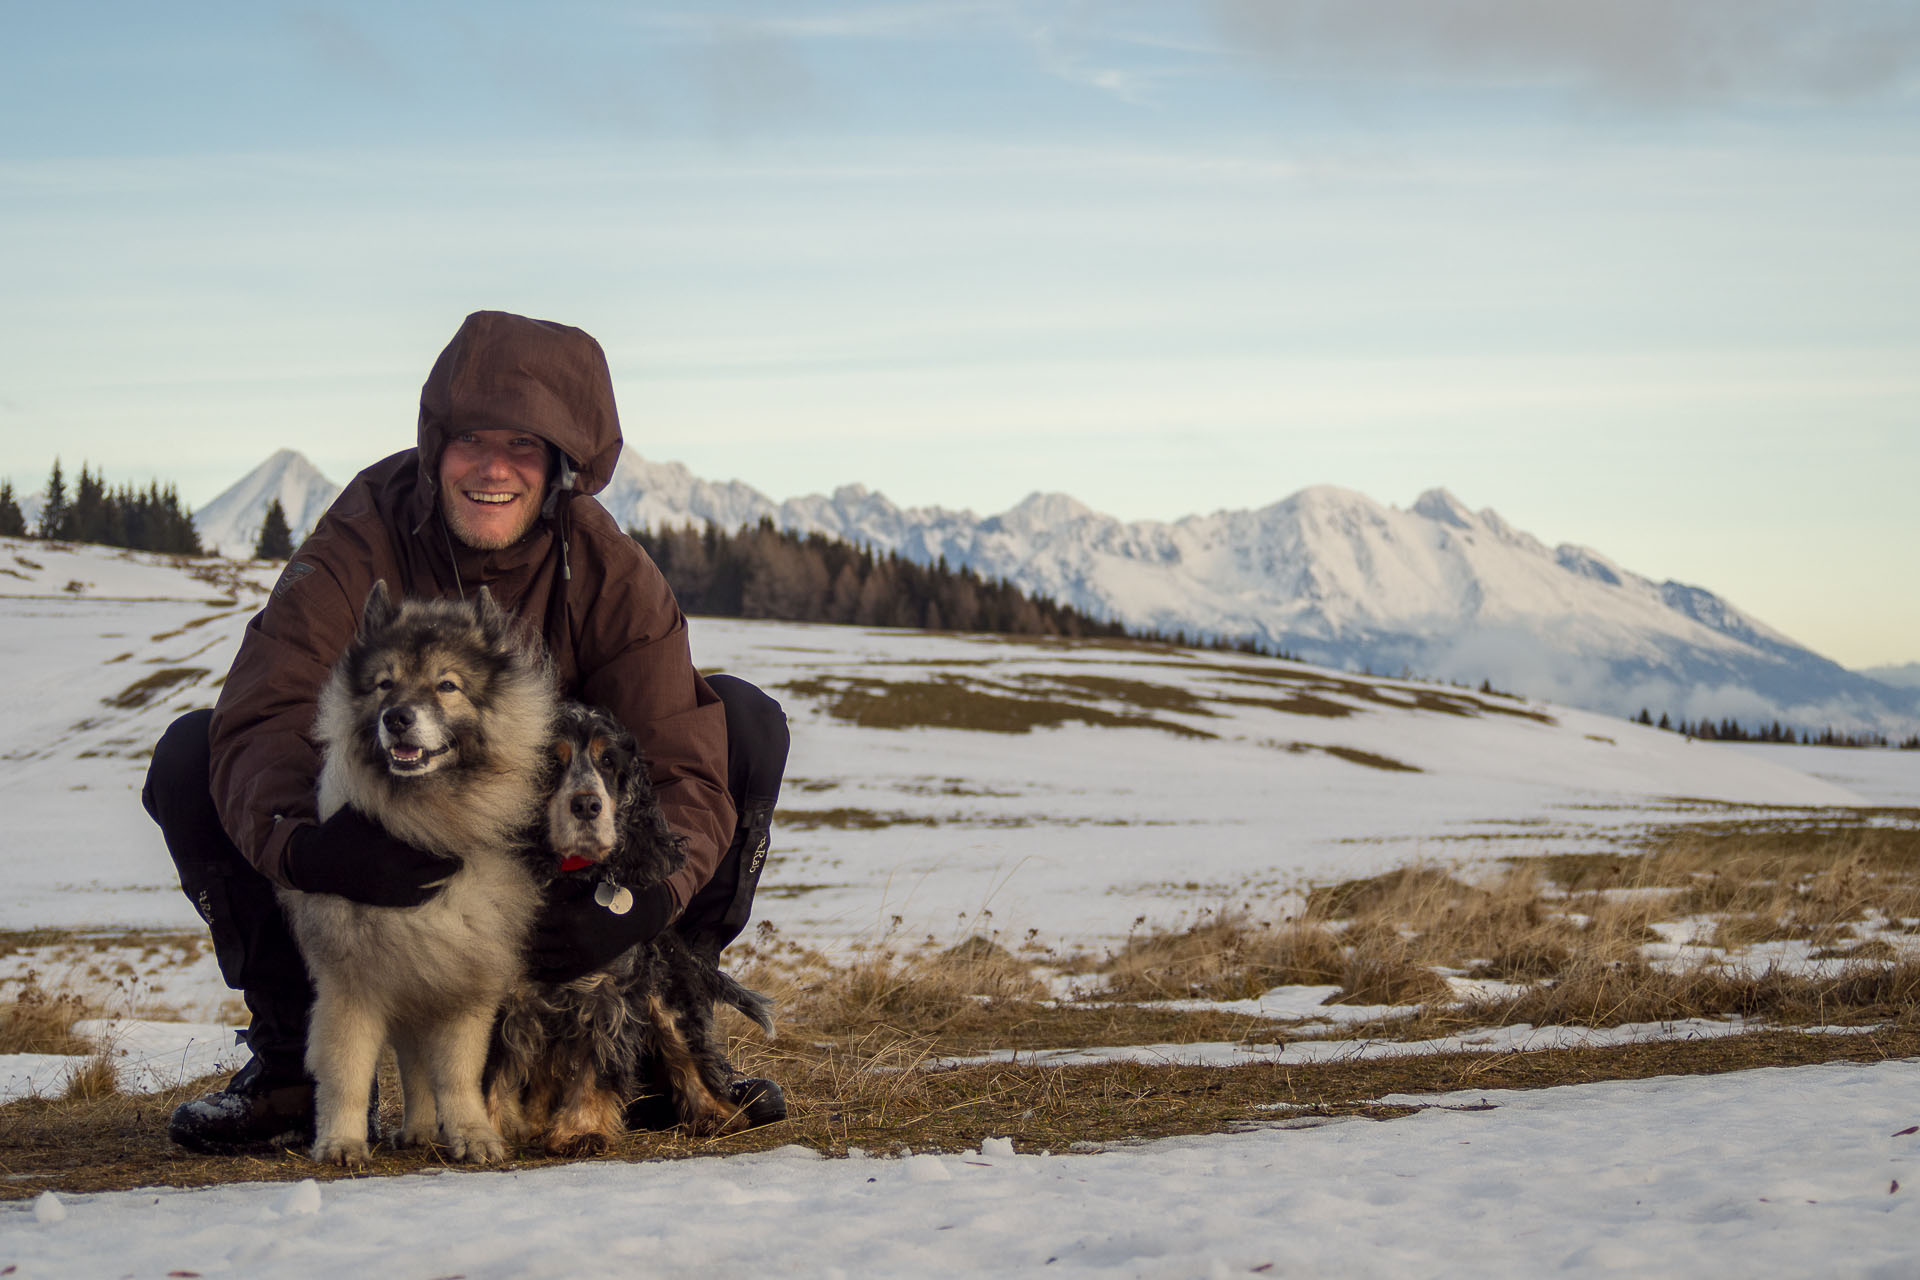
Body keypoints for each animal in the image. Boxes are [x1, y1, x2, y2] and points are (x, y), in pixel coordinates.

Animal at [282, 587, 556, 1166]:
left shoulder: (463, 983)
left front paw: (473, 1133)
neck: (427, 826)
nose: (398, 718)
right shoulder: (353, 983)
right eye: (384, 684)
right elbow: (347, 1073)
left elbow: (457, 1075)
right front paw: (341, 1142)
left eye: (446, 685)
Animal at [487, 706, 771, 1159]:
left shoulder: (610, 992)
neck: (568, 879)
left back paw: (715, 1114)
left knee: (689, 1057)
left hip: (666, 994)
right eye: (552, 761)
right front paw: (486, 1129)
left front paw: (581, 1130)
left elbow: (598, 1066)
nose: (587, 804)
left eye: (608, 761)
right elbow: (493, 1069)